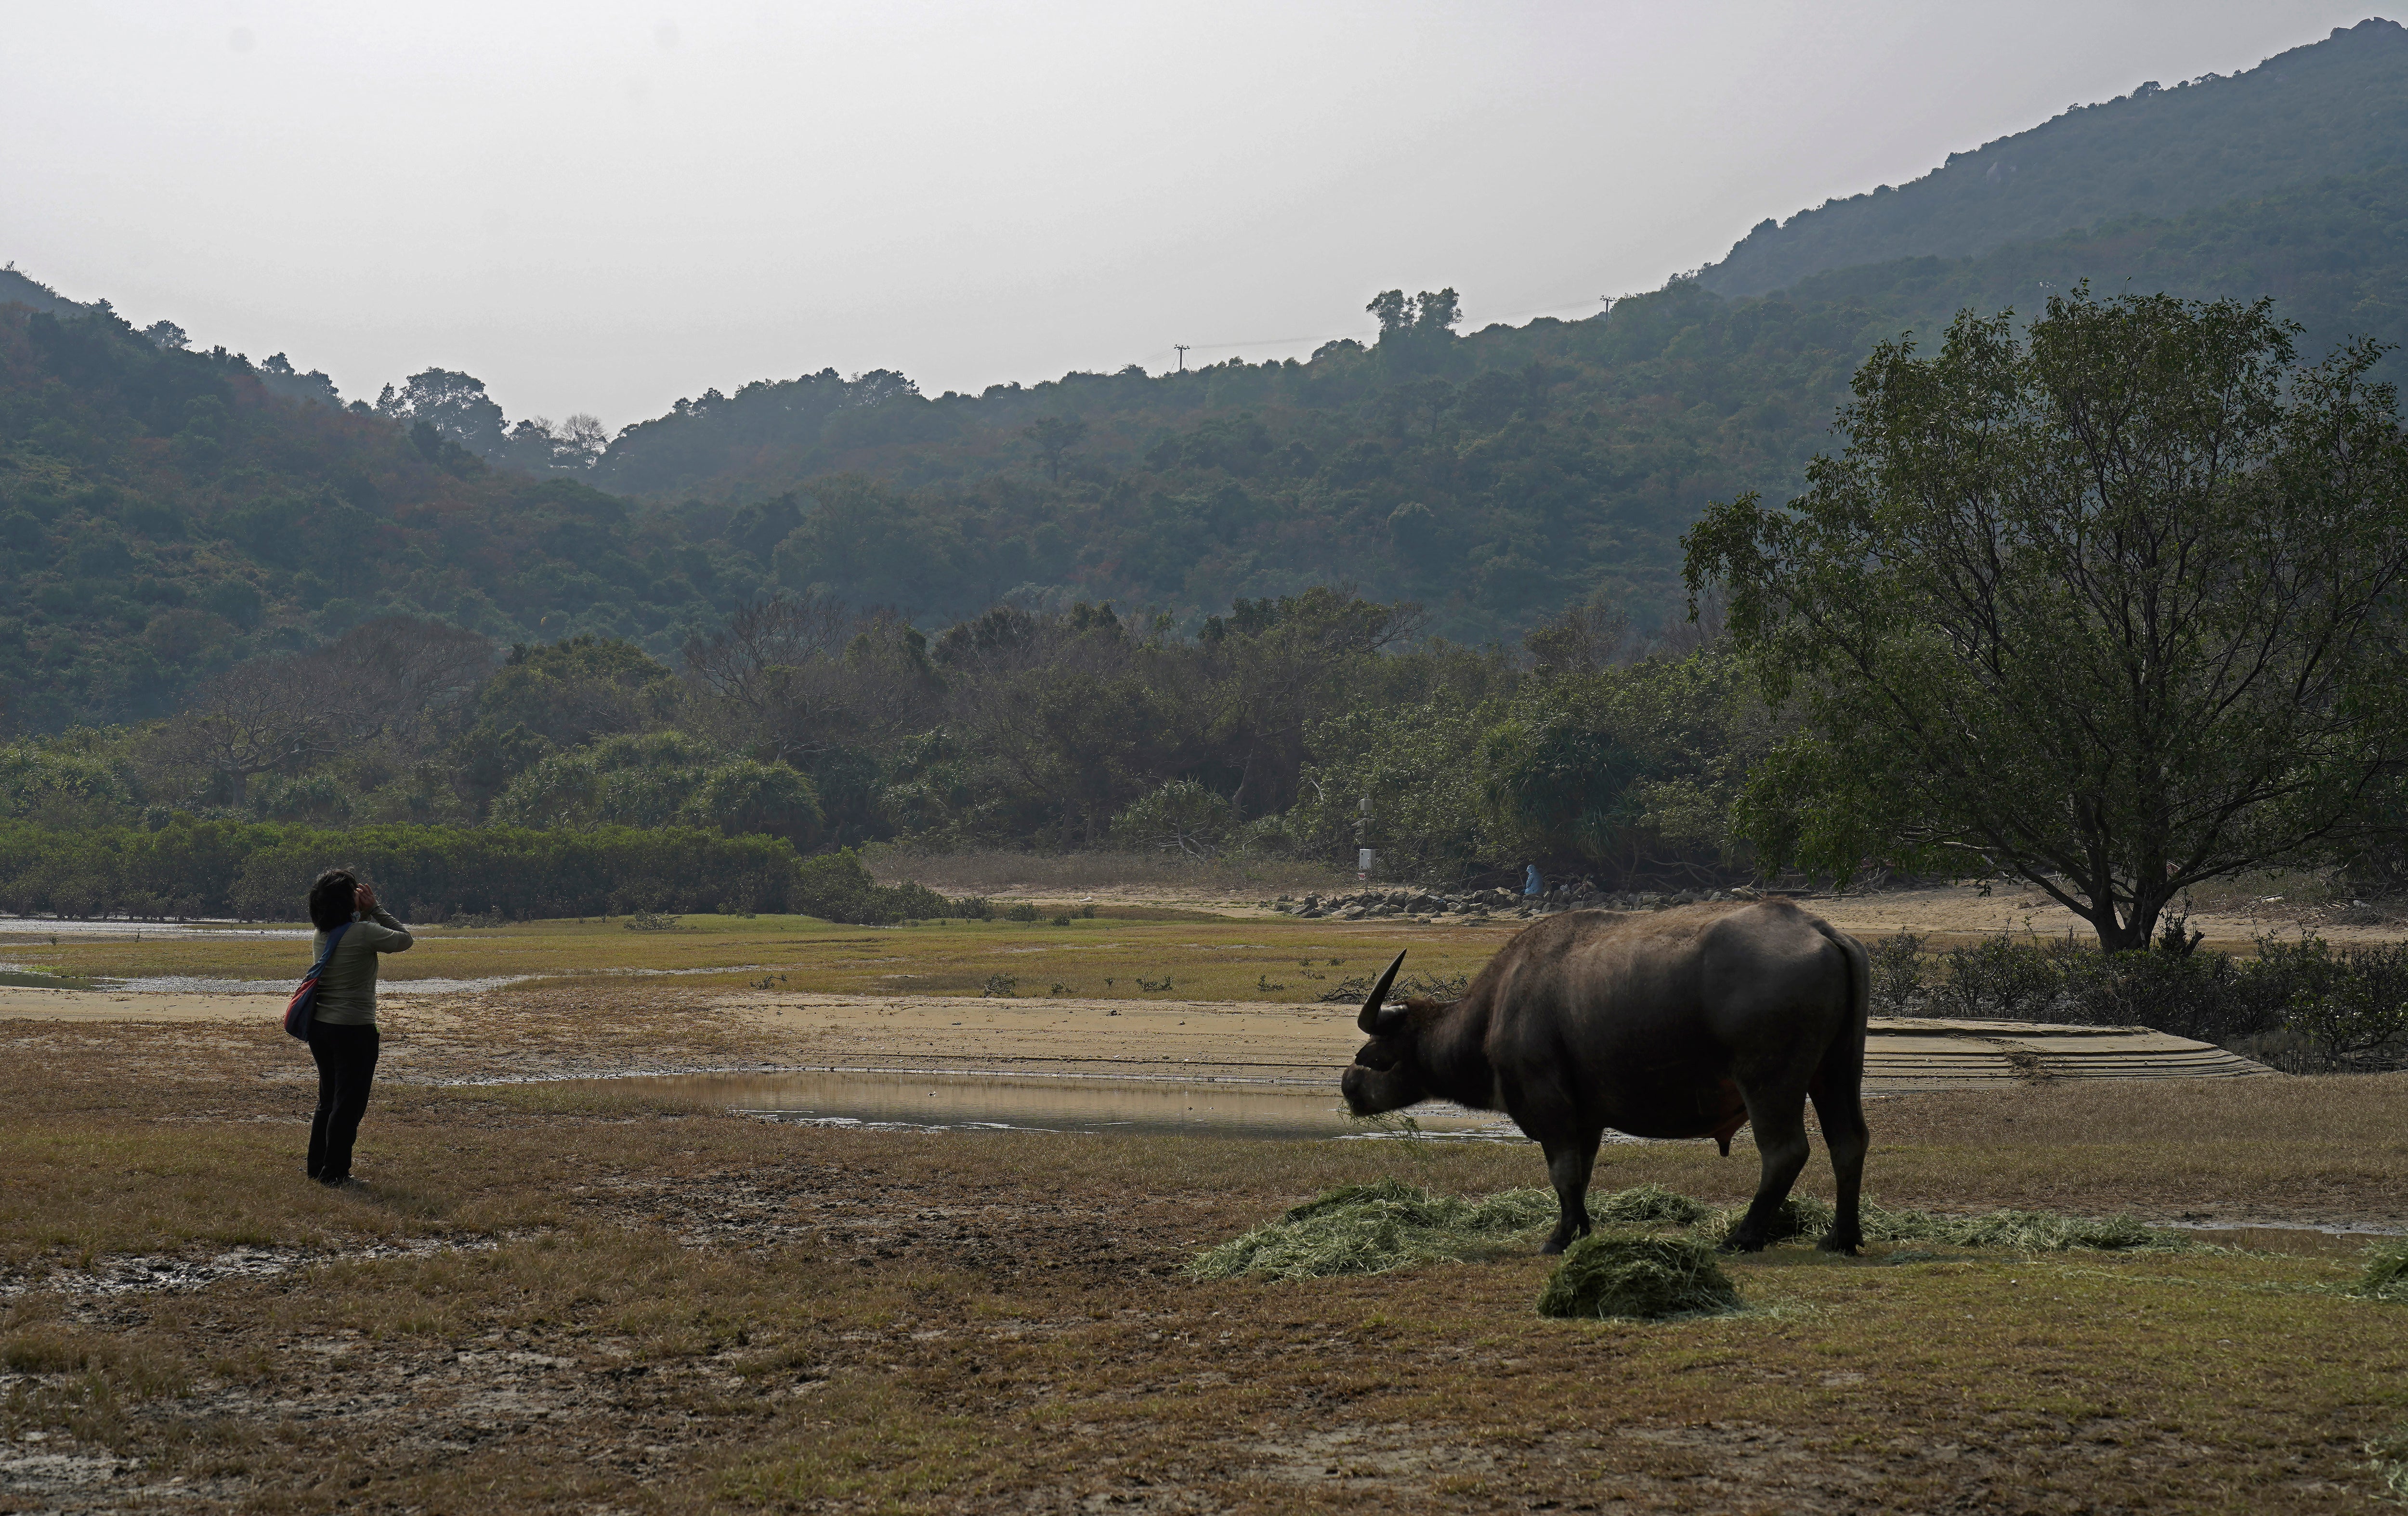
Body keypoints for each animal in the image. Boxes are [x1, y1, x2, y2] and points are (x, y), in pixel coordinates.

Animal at [1348, 904, 1869, 1261]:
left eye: (1374, 1056)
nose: (1348, 1087)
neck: (1496, 1010)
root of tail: (1819, 930)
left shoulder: (1549, 1103)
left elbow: (1562, 1172)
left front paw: (1557, 1238)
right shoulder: (1587, 1120)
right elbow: (1581, 1174)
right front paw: (1579, 1228)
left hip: (1769, 1080)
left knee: (1784, 1152)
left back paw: (1742, 1237)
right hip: (1837, 1071)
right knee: (1848, 1142)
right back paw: (1841, 1237)